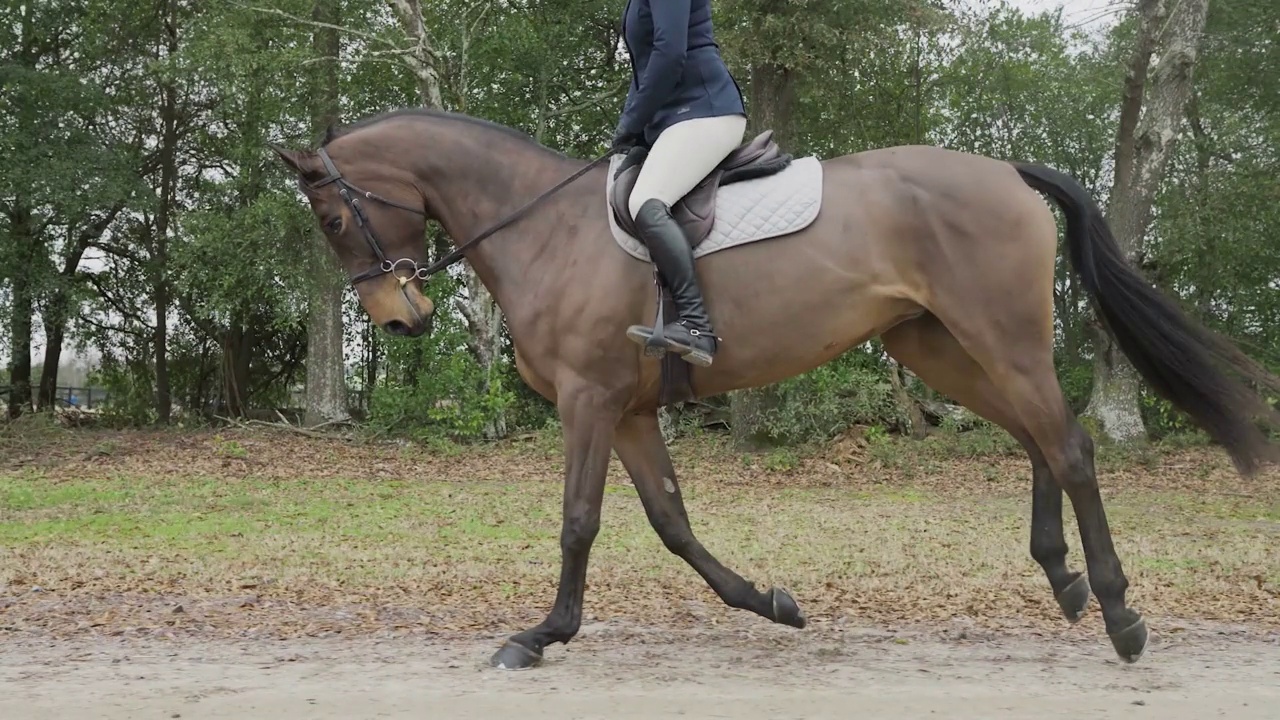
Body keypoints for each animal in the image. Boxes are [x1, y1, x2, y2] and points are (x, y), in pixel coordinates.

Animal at [270, 106, 1280, 666]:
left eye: (333, 218)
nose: (401, 320)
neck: (544, 228)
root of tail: (1004, 171)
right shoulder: (629, 411)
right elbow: (672, 524)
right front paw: (771, 604)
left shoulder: (590, 401)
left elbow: (579, 521)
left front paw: (541, 634)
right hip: (940, 348)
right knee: (1036, 438)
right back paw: (1064, 581)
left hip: (1003, 338)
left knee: (1068, 445)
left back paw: (1118, 612)